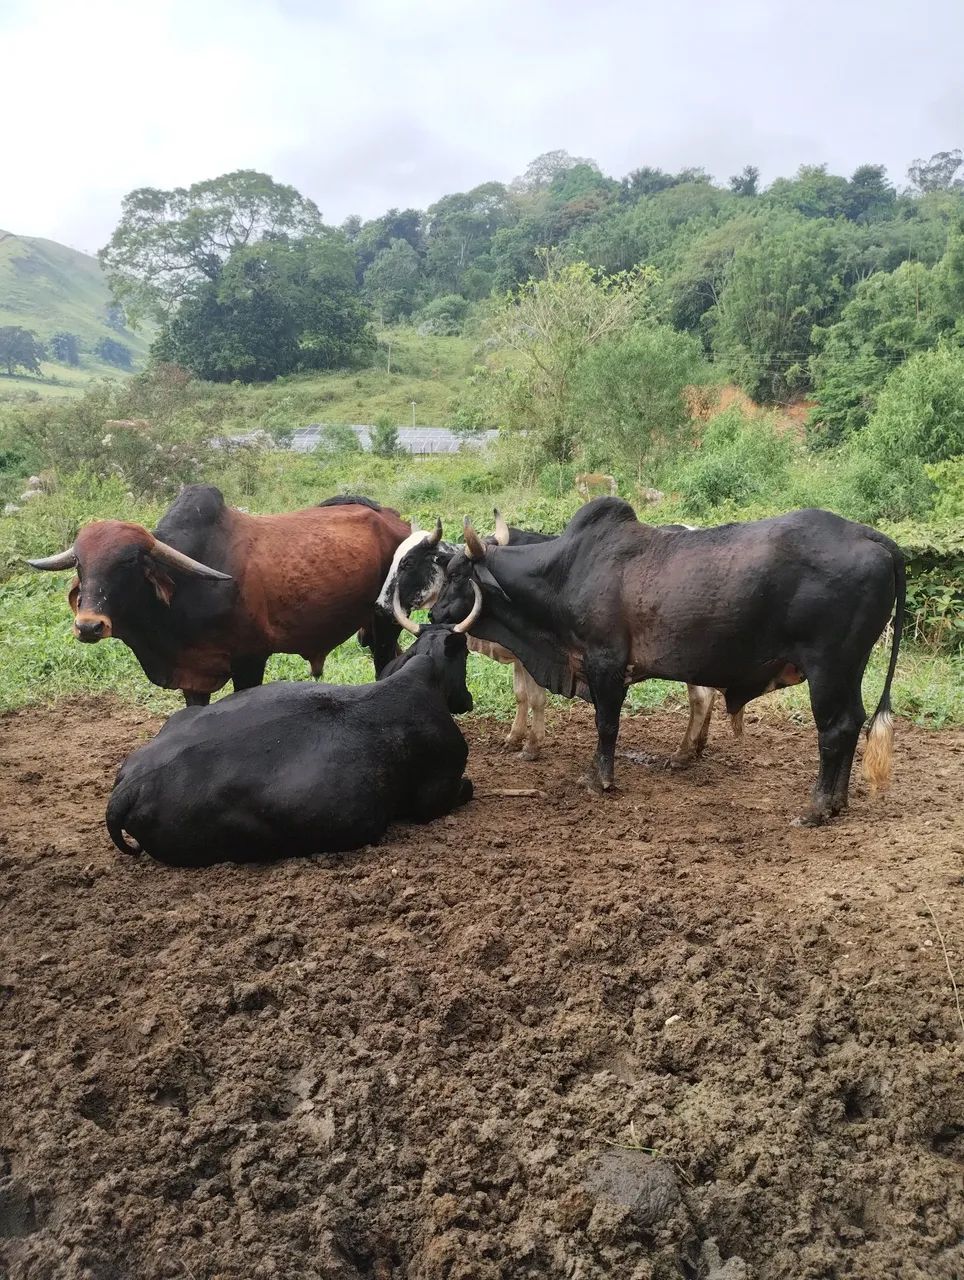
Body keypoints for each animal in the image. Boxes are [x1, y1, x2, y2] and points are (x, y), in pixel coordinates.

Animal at [26, 487, 410, 705]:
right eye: (80, 564)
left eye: (130, 562)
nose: (89, 626)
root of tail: (395, 519)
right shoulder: (191, 678)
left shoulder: (251, 660)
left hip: (385, 625)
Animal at [105, 608, 480, 867]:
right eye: (465, 655)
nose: (468, 700)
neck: (421, 677)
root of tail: (131, 787)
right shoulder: (435, 795)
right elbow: (467, 788)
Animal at [382, 509, 722, 769]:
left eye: (408, 562)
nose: (382, 604)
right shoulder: (519, 656)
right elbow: (520, 695)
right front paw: (514, 738)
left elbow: (535, 698)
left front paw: (531, 746)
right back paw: (698, 745)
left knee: (701, 697)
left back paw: (683, 753)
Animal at [426, 499, 905, 827]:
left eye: (457, 576)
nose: (433, 616)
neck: (565, 572)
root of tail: (869, 536)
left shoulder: (606, 663)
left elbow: (606, 725)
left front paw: (599, 780)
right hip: (850, 668)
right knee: (853, 721)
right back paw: (839, 801)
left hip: (827, 666)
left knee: (834, 730)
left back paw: (817, 807)